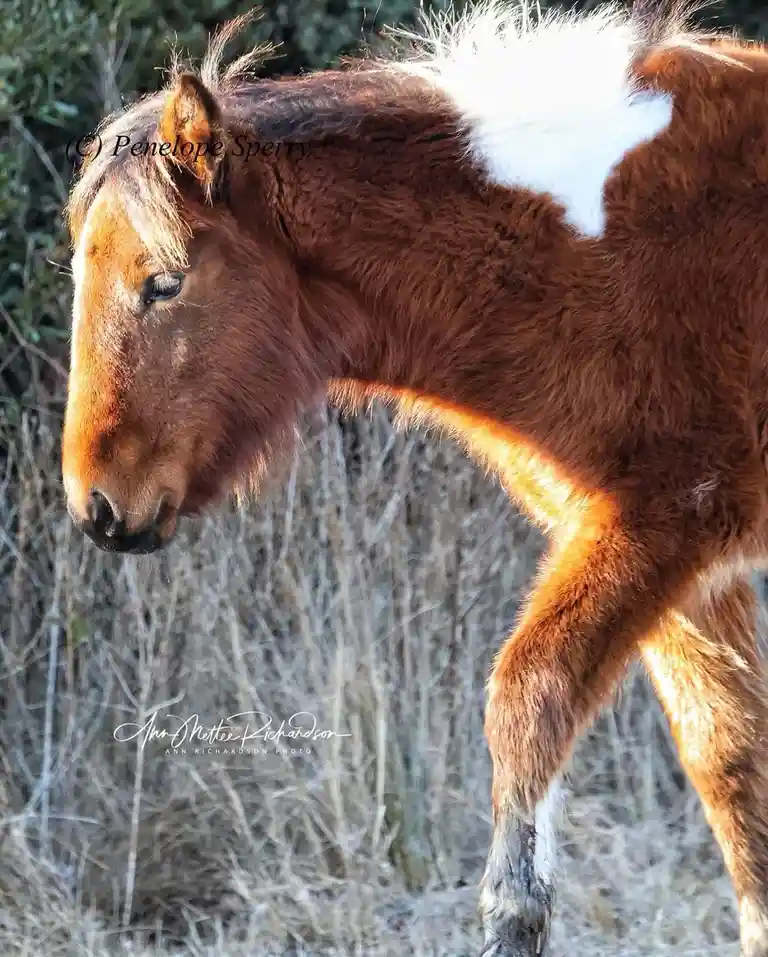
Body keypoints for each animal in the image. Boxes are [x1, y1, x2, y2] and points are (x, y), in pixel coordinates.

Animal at [61, 1, 768, 953]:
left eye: (164, 283)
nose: (97, 505)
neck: (605, 248)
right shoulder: (686, 575)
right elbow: (731, 764)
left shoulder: (660, 527)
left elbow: (528, 698)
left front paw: (513, 911)